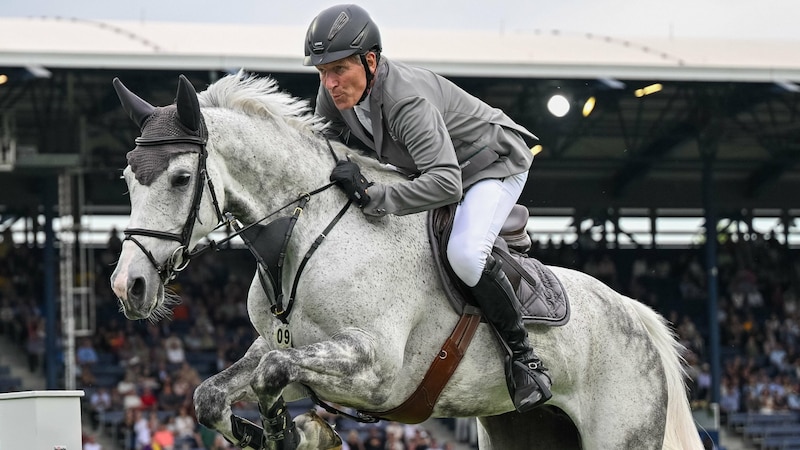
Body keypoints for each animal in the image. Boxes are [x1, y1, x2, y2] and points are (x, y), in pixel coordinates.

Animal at [109, 72, 704, 448]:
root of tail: (635, 314)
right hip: (522, 429)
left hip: (621, 430)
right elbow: (215, 393)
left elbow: (273, 374)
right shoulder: (282, 348)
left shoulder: (375, 370)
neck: (305, 235)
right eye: (128, 180)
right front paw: (283, 431)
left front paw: (298, 432)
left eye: (180, 178)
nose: (127, 286)